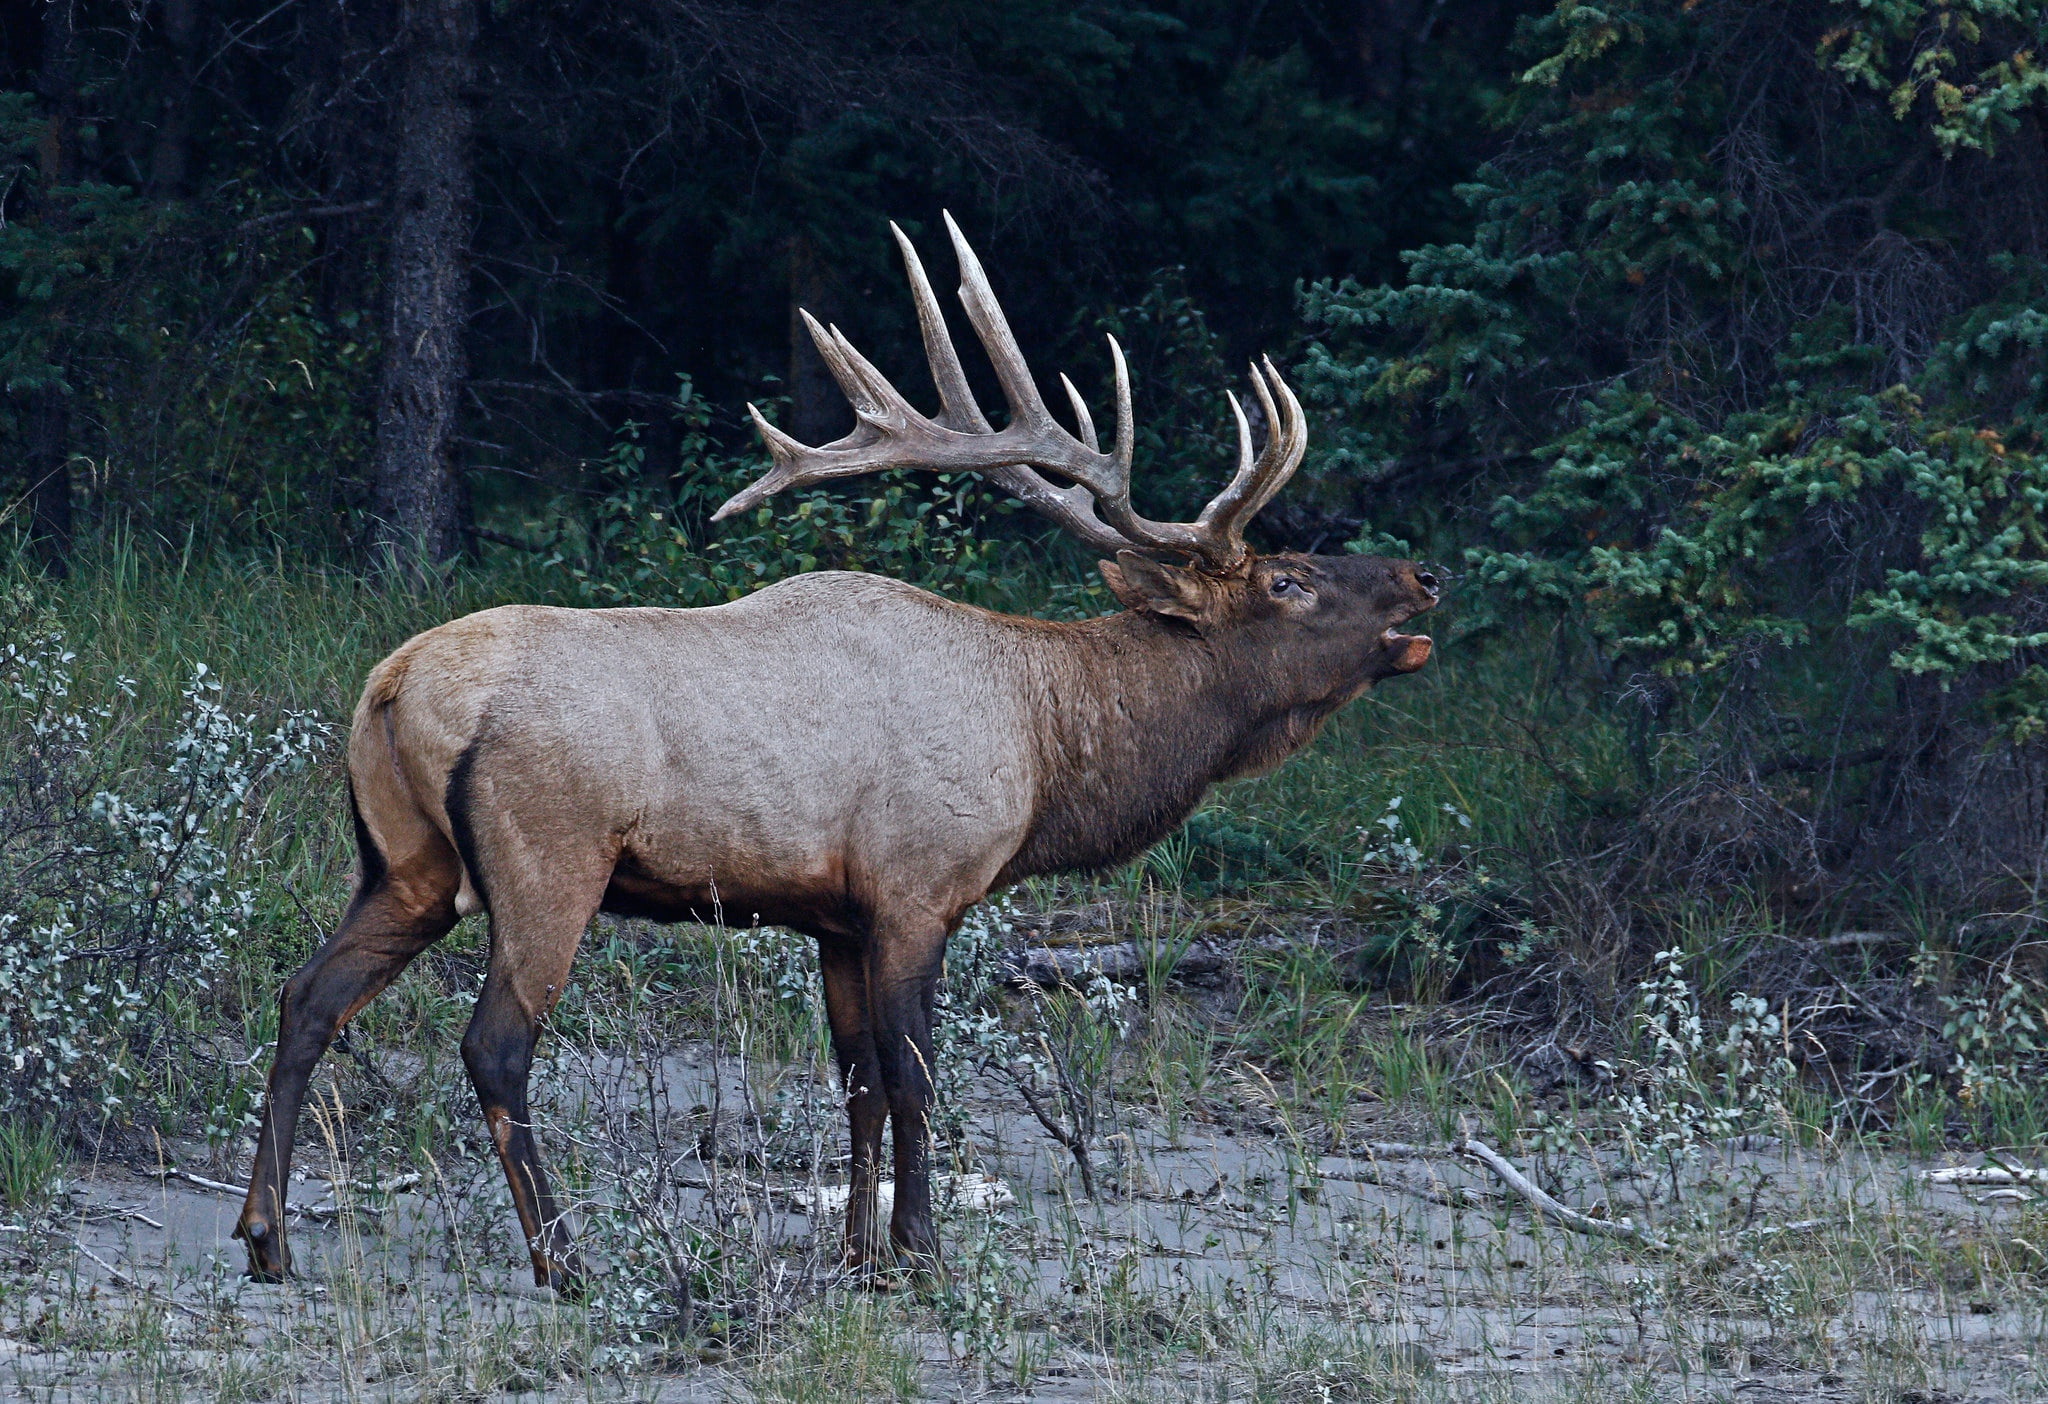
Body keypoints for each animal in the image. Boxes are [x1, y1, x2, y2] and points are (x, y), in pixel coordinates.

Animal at [234, 214, 1438, 1291]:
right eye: (1286, 579)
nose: (1422, 577)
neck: (1045, 745)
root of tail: (391, 688)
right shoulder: (916, 888)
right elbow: (913, 1077)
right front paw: (920, 1250)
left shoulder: (835, 913)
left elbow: (853, 1078)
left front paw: (858, 1251)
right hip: (548, 858)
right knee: (493, 1043)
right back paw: (562, 1261)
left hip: (406, 864)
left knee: (305, 996)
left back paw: (268, 1240)